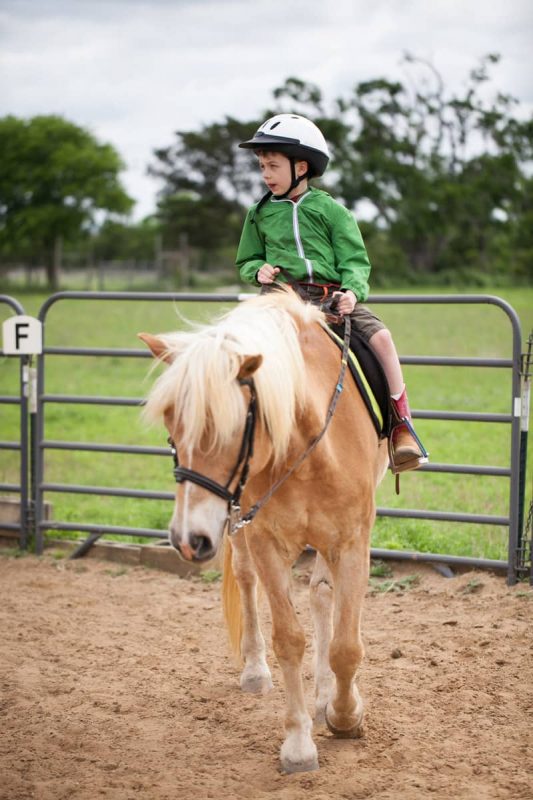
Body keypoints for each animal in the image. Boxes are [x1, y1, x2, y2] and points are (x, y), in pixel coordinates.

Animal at [139, 288, 388, 776]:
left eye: (234, 427)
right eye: (172, 431)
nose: (188, 539)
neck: (306, 447)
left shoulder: (352, 542)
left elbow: (346, 645)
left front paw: (345, 715)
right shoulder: (266, 542)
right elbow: (288, 639)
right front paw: (299, 745)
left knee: (322, 594)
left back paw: (326, 696)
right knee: (247, 580)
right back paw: (256, 671)